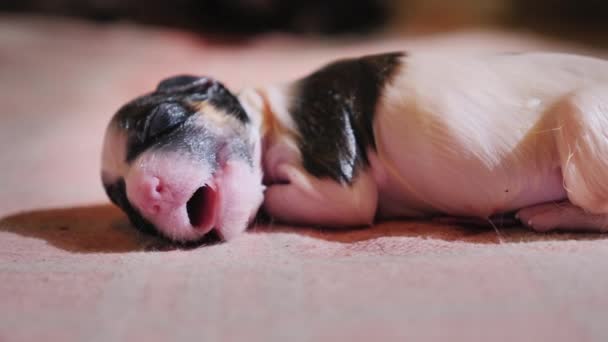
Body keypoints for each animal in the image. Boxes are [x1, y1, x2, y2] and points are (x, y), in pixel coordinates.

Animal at [102, 52, 608, 242]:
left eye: (162, 121)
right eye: (129, 207)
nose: (148, 193)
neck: (269, 114)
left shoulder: (328, 146)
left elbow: (321, 199)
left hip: (584, 128)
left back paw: (545, 214)